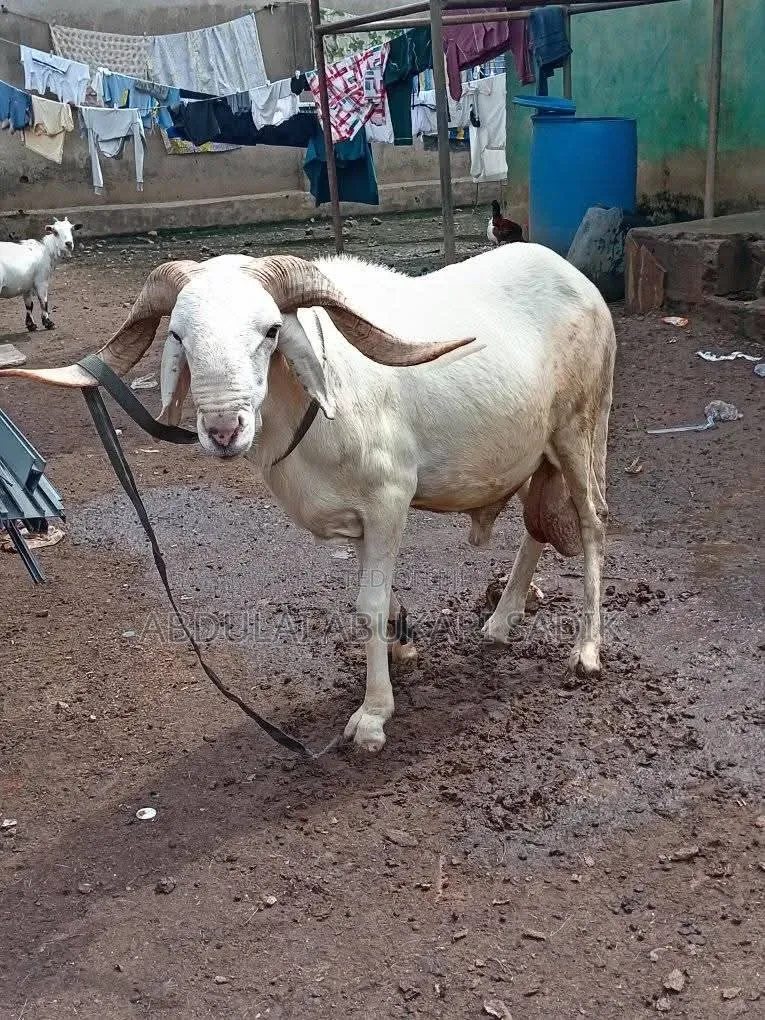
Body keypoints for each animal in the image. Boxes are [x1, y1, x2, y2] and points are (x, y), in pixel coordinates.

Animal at [1, 244, 616, 753]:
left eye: (272, 329)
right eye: (178, 336)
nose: (223, 429)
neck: (323, 406)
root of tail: (580, 283)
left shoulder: (390, 499)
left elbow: (368, 605)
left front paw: (372, 716)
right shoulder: (362, 518)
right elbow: (378, 598)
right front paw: (402, 646)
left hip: (581, 430)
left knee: (592, 524)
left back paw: (587, 651)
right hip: (538, 454)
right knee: (536, 530)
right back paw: (500, 623)